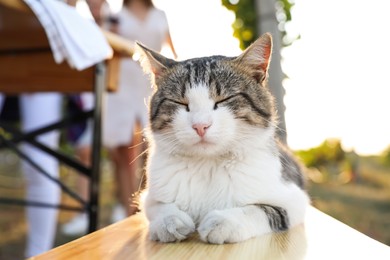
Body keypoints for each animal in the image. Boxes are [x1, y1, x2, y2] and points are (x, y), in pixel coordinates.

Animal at [136, 32, 310, 244]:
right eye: (180, 102)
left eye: (224, 99)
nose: (200, 126)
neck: (208, 165)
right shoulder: (149, 196)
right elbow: (158, 206)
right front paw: (169, 220)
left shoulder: (294, 199)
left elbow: (260, 210)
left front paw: (224, 221)